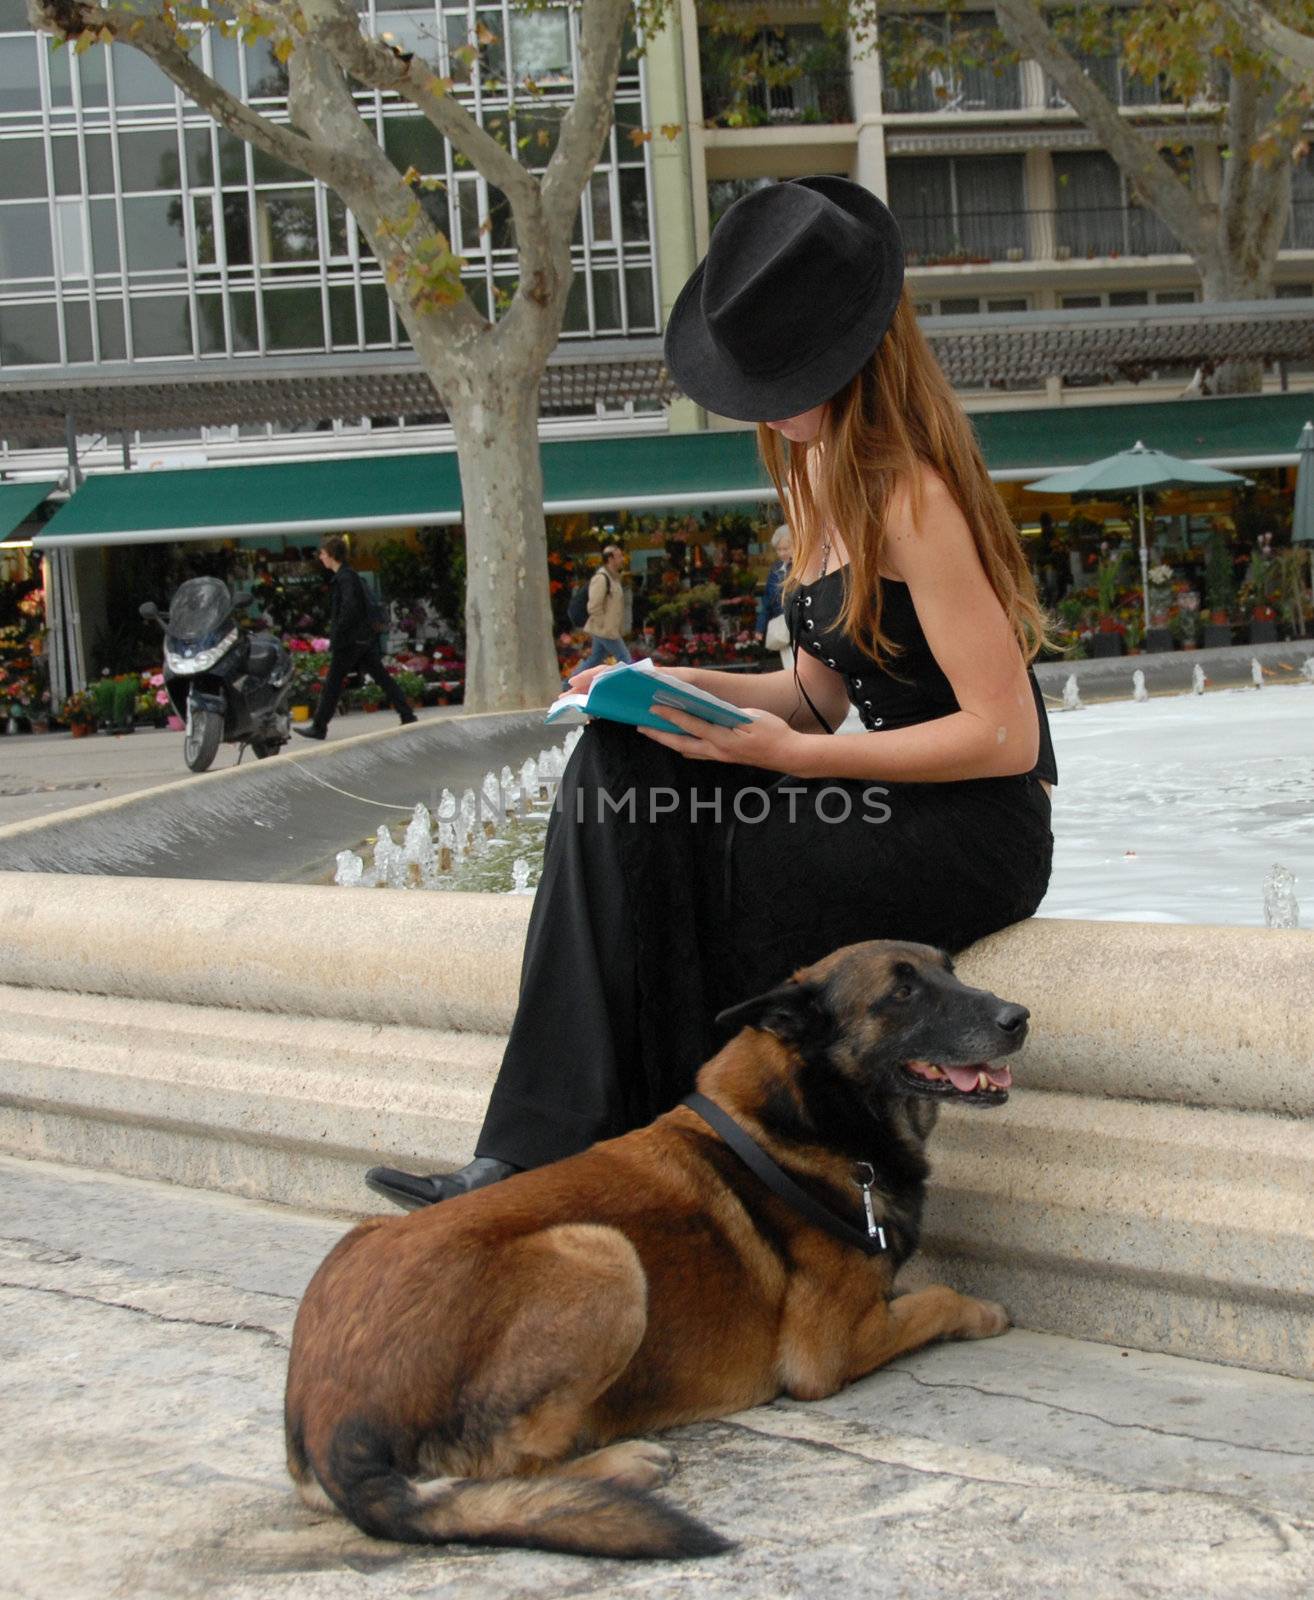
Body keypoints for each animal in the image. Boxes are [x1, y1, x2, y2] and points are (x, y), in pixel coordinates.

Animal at [284, 940, 1024, 1555]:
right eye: (902, 992)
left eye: (949, 971)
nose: (1018, 1016)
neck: (802, 1117)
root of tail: (330, 1426)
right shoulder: (829, 1353)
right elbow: (937, 1297)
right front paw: (984, 1312)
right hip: (601, 1256)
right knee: (508, 1462)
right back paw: (621, 1466)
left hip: (364, 1238)